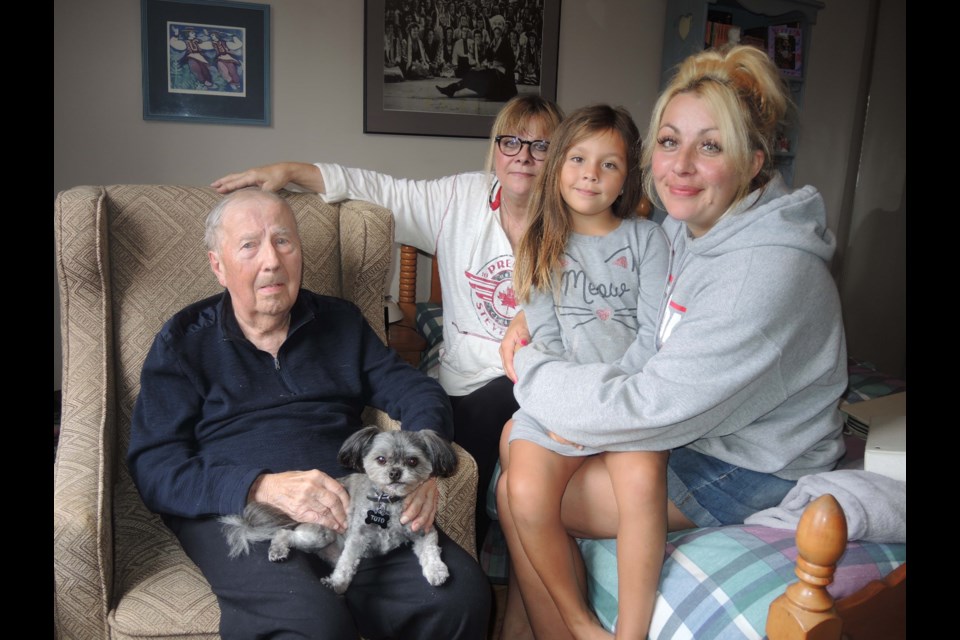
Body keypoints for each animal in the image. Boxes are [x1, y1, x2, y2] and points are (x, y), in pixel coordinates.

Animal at [220, 424, 458, 596]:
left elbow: (431, 550)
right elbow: (346, 564)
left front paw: (436, 571)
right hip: (321, 534)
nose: (395, 473)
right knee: (283, 533)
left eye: (413, 461)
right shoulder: (357, 538)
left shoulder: (423, 528)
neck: (389, 502)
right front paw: (336, 583)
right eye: (381, 459)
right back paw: (278, 550)